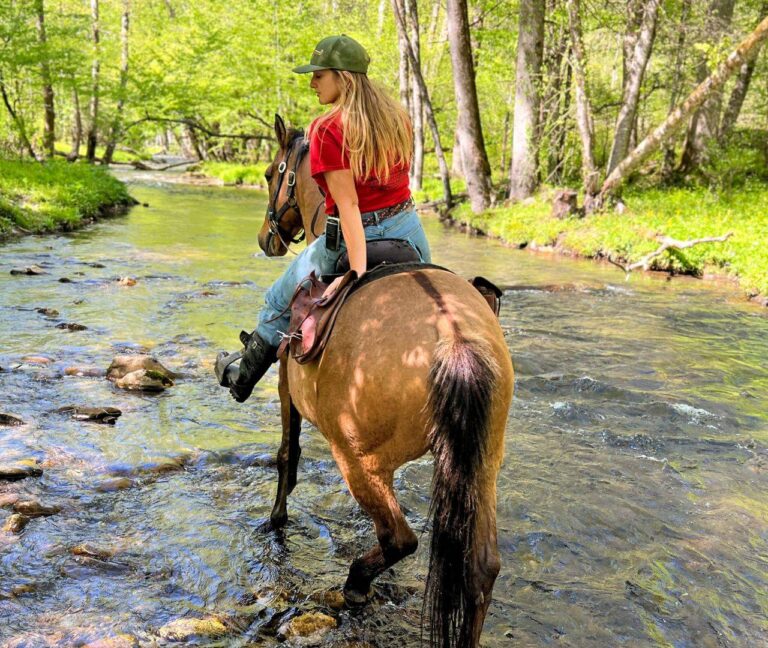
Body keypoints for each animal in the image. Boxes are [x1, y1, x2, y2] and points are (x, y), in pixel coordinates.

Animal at [255, 116, 512, 648]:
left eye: (271, 173)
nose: (267, 238)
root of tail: (455, 340)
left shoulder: (287, 390)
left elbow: (287, 457)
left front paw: (275, 522)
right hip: (483, 464)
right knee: (481, 568)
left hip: (359, 459)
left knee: (401, 538)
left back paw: (355, 583)